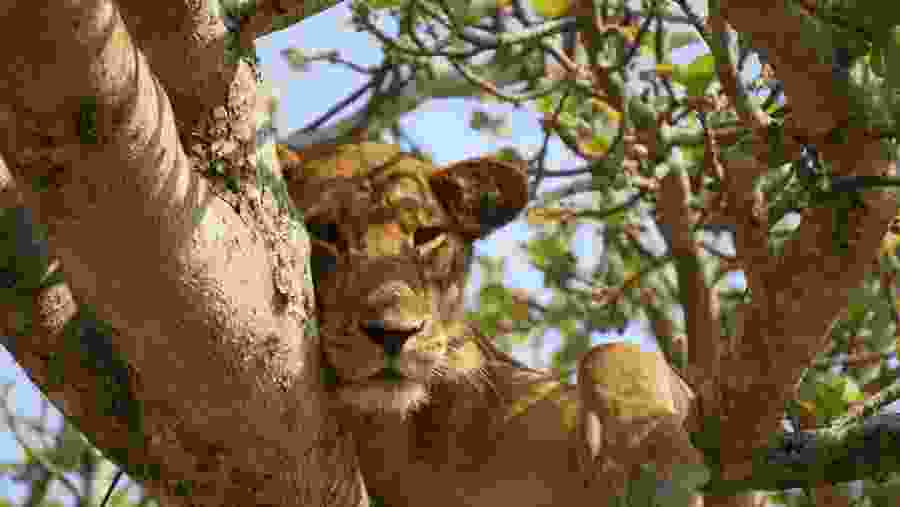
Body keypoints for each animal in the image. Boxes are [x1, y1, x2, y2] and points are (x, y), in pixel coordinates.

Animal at [278, 142, 705, 507]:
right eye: (323, 233)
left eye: (427, 236)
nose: (393, 334)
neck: (398, 440)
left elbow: (612, 354)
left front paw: (652, 456)